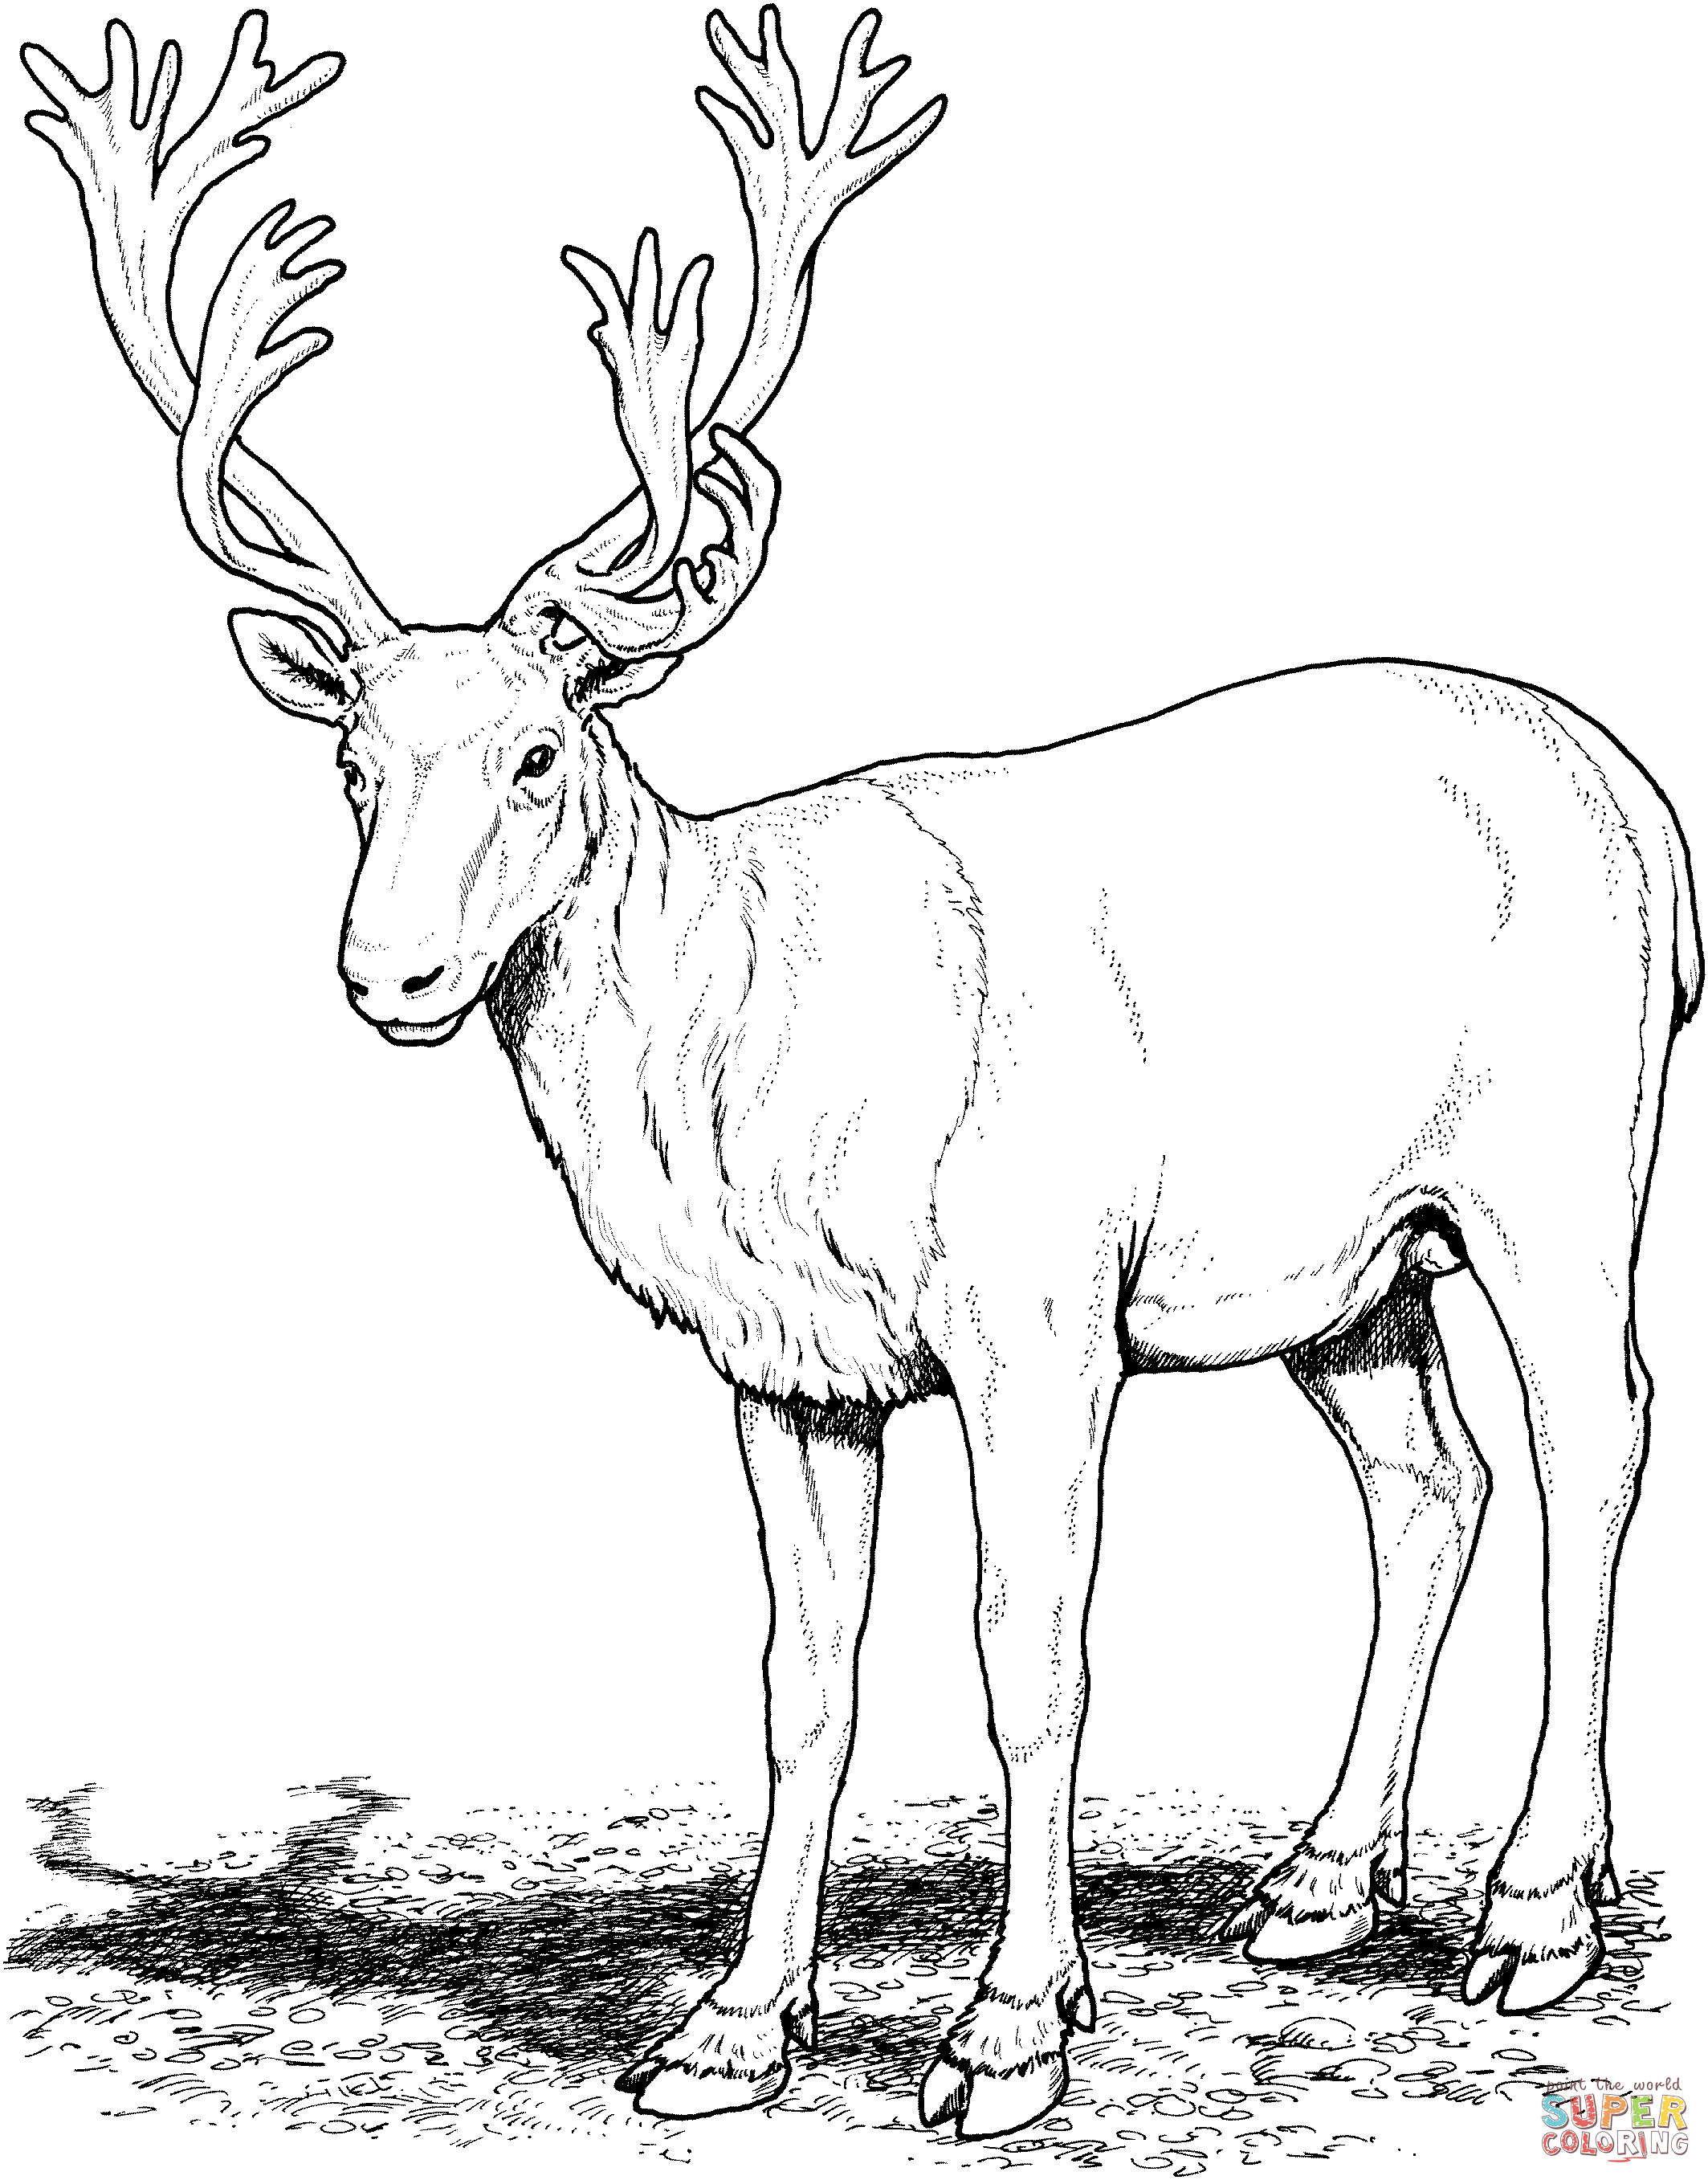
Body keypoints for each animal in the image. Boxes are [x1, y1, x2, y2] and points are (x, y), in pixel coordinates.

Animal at [22, 3, 1700, 2144]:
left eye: (540, 753)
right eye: (352, 761)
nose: (385, 971)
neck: (756, 1065)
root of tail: (1650, 823)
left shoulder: (1035, 1299)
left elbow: (1029, 1653)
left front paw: (1006, 2029)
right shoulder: (786, 1359)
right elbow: (799, 1678)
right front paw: (731, 2026)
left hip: (1557, 1163)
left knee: (1599, 1442)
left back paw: (1533, 1908)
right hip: (1344, 1259)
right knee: (1430, 1475)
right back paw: (1319, 1884)